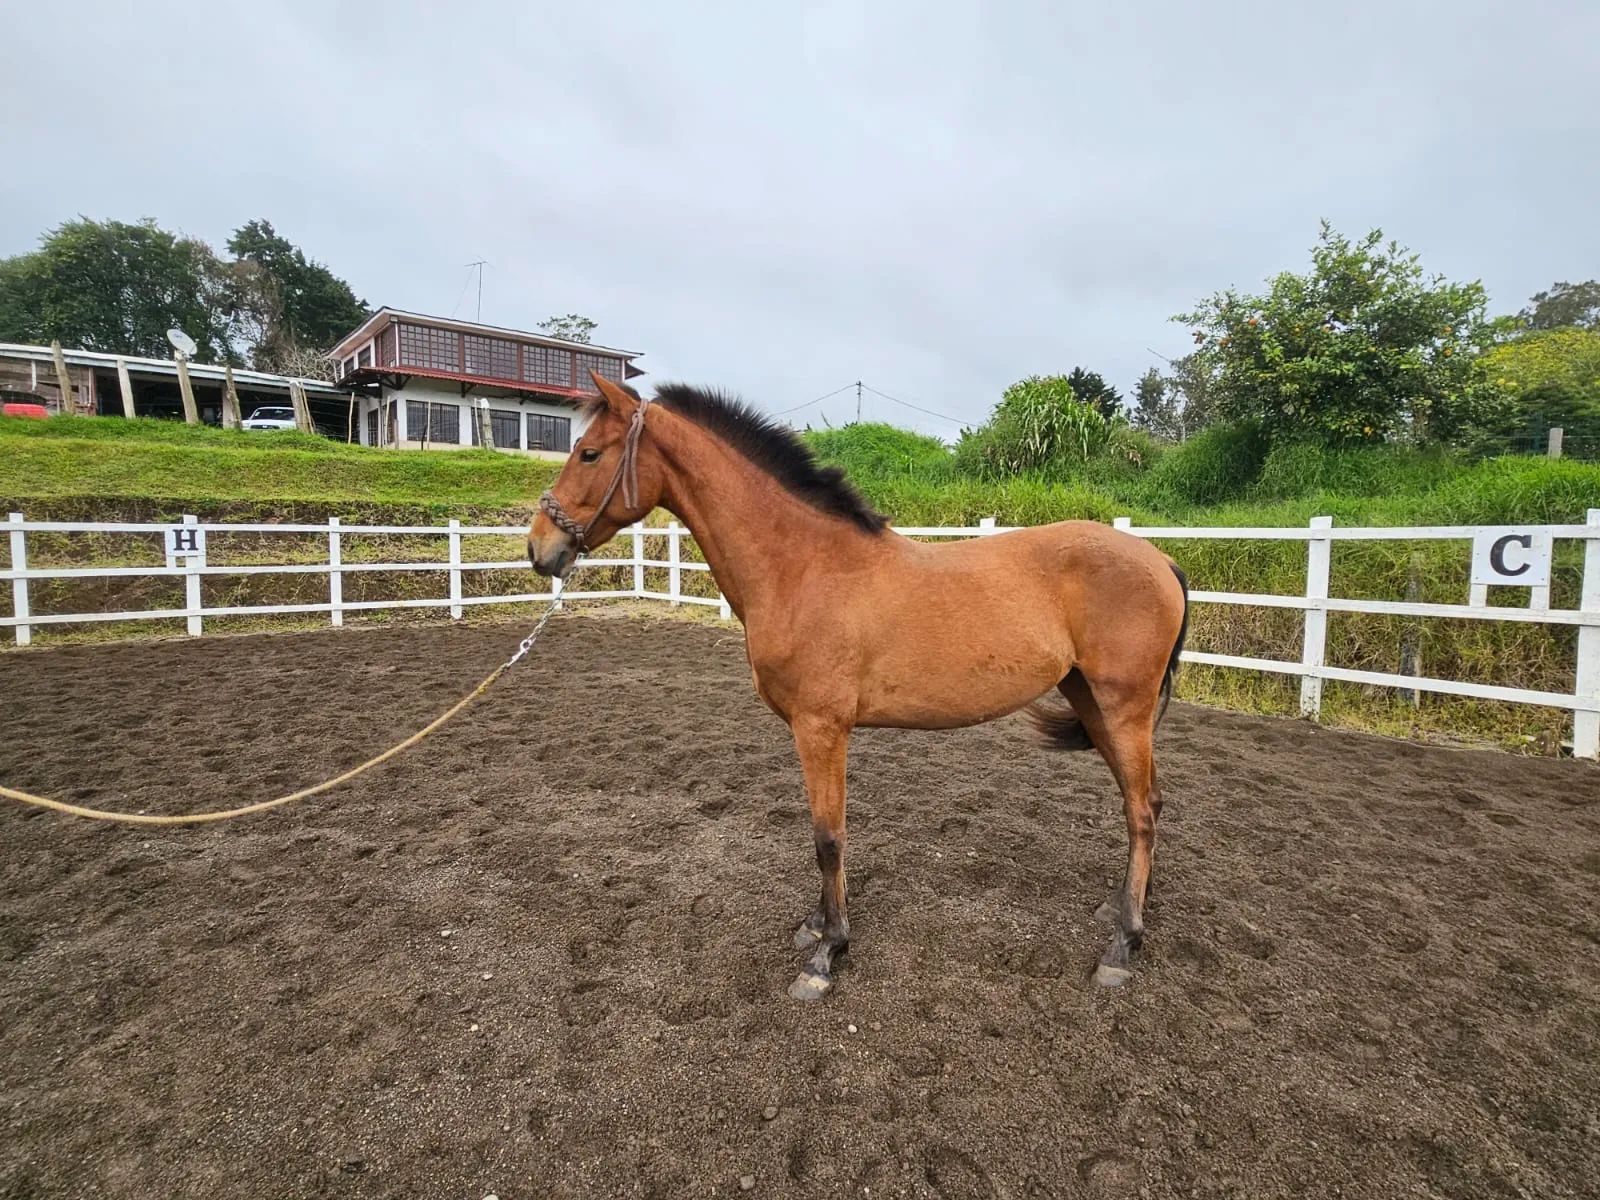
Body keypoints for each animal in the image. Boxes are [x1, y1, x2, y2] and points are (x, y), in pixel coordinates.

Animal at [530, 374, 1190, 1000]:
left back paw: (1122, 946)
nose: (539, 548)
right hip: (1091, 701)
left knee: (1140, 812)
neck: (804, 567)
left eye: (589, 453)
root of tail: (1160, 561)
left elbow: (828, 837)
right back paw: (1121, 907)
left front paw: (827, 954)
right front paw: (816, 927)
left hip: (1123, 708)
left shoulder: (821, 729)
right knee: (1145, 803)